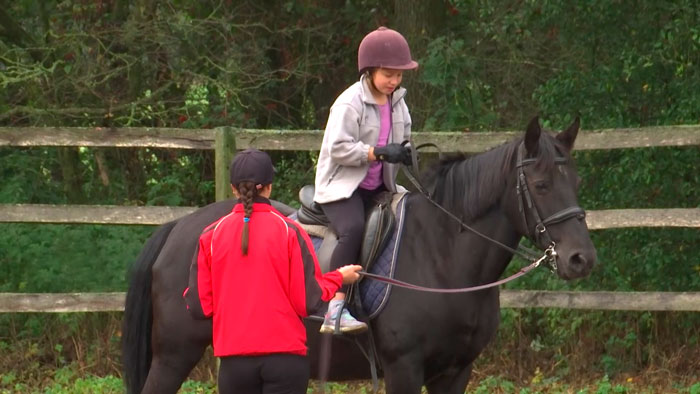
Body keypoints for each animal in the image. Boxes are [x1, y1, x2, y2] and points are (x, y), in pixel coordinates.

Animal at [121, 117, 596, 394]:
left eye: (575, 180)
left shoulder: (455, 372)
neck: (442, 257)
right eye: (540, 186)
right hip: (176, 352)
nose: (581, 259)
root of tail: (178, 228)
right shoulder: (405, 369)